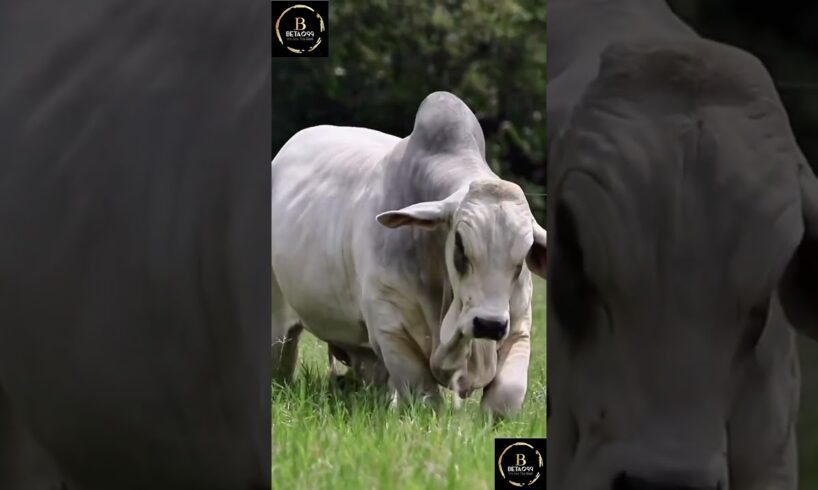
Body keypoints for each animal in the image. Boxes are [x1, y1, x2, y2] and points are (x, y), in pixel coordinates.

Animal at [270, 91, 547, 416]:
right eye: (460, 245)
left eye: (523, 254)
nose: (489, 324)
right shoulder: (391, 329)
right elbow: (424, 398)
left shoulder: (519, 328)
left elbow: (506, 395)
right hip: (277, 320)